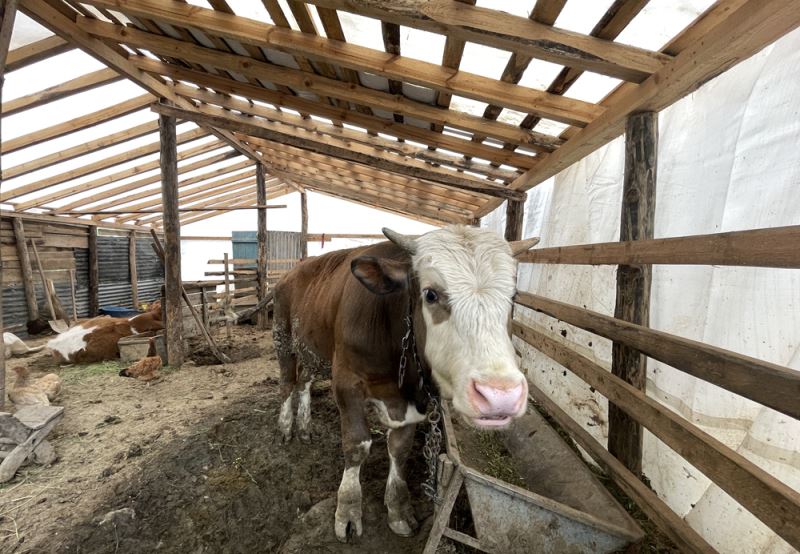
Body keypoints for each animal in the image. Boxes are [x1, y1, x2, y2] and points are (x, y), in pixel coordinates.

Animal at [274, 223, 536, 540]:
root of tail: (292, 271)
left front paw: (398, 510)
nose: (500, 395)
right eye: (430, 294)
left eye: (514, 296)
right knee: (287, 383)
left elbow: (400, 449)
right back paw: (286, 427)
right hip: (283, 337)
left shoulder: (416, 397)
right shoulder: (346, 381)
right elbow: (356, 444)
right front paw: (347, 510)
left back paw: (304, 427)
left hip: (312, 349)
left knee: (304, 383)